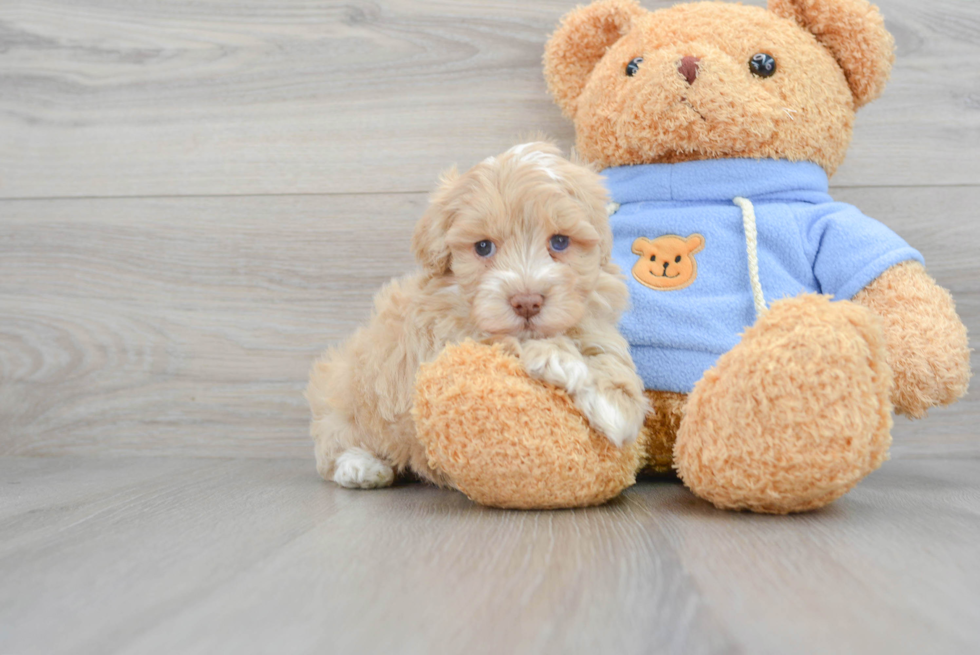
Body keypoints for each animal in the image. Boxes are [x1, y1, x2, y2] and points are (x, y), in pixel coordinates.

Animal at [306, 145, 652, 492]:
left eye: (560, 241)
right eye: (483, 247)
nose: (527, 302)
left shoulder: (598, 329)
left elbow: (619, 386)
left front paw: (608, 399)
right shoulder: (447, 335)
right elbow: (500, 339)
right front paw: (555, 354)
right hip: (345, 392)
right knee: (332, 443)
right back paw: (361, 466)